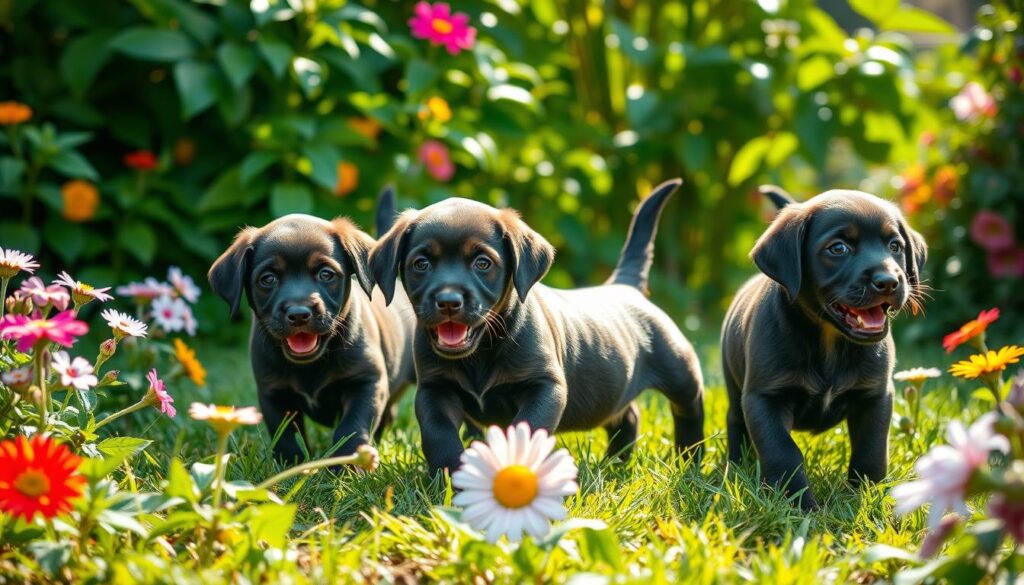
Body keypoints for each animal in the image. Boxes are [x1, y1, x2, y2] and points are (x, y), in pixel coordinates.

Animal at [207, 189, 415, 465]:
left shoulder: (366, 382)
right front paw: (292, 466)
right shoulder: (274, 393)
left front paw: (345, 464)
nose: (298, 314)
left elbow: (351, 427)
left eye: (326, 274)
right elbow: (286, 437)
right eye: (268, 279)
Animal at [368, 178, 704, 475]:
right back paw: (616, 463)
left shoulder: (545, 386)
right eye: (421, 264)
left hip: (680, 371)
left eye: (482, 263)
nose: (448, 301)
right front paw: (449, 475)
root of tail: (624, 285)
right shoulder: (435, 389)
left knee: (688, 411)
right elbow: (438, 434)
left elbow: (526, 428)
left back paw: (691, 460)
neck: (481, 352)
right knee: (627, 416)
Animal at [720, 187, 929, 508]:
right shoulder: (764, 397)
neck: (830, 342)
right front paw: (798, 504)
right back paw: (736, 467)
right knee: (736, 423)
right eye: (838, 249)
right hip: (733, 384)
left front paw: (865, 496)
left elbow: (871, 450)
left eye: (895, 246)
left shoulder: (876, 395)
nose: (889, 281)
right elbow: (783, 452)